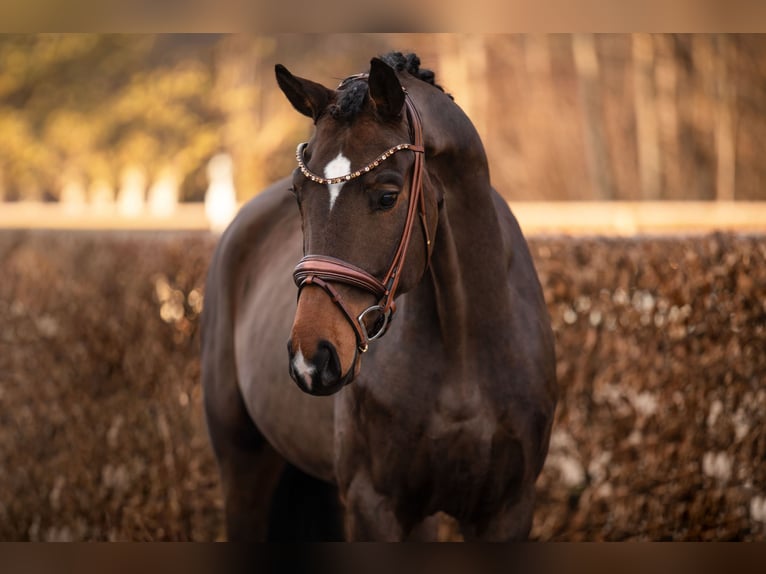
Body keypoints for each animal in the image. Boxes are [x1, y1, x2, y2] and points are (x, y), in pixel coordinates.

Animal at [201, 52, 557, 541]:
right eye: (298, 193)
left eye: (388, 196)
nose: (313, 358)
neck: (464, 353)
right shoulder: (375, 505)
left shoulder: (507, 509)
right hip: (243, 465)